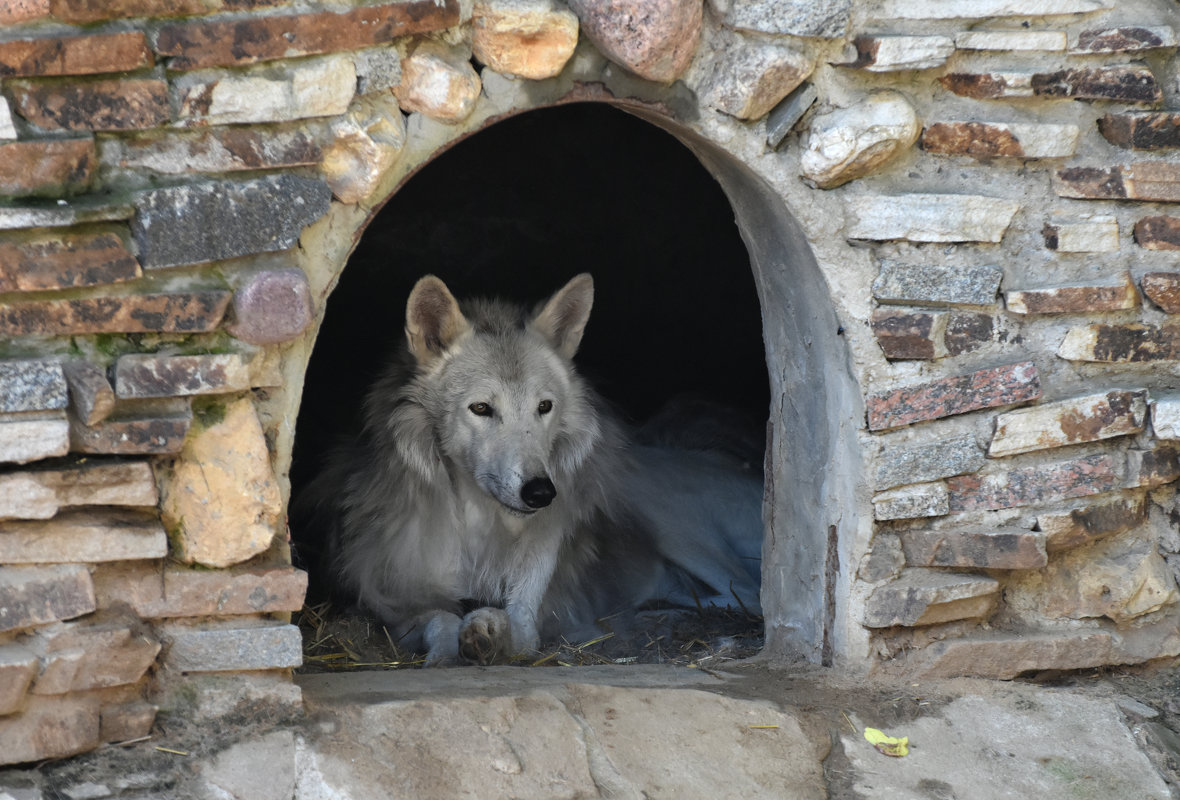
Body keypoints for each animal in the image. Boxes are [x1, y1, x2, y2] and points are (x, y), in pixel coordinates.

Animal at [297, 273, 764, 665]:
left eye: (544, 407)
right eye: (481, 409)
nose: (541, 492)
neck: (479, 536)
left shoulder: (532, 609)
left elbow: (515, 625)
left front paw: (487, 630)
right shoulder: (390, 603)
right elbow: (441, 619)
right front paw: (447, 652)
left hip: (656, 510)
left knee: (751, 594)